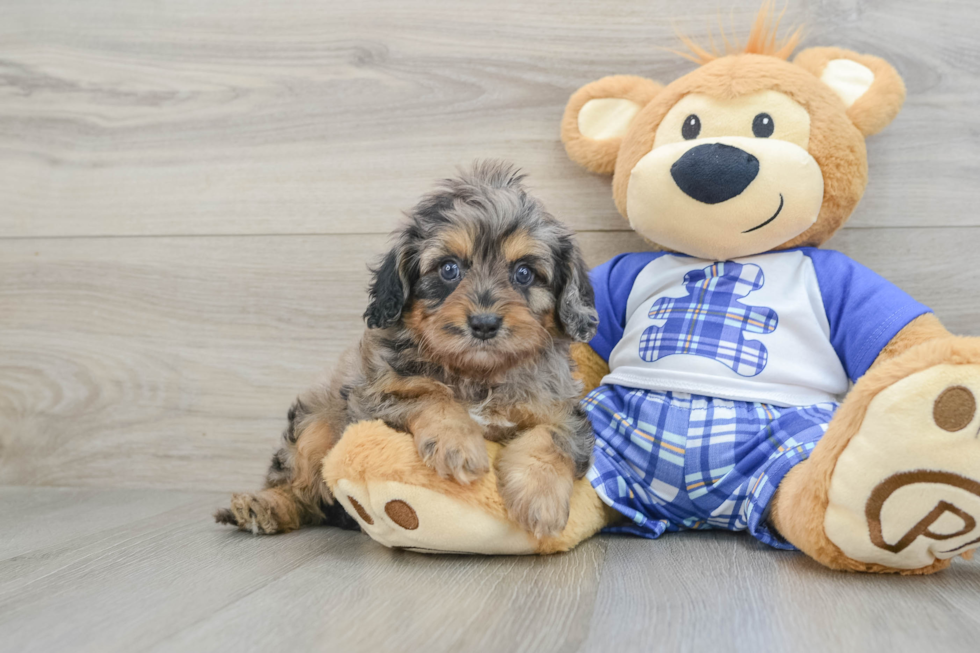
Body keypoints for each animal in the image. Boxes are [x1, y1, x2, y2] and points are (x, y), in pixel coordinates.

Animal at [214, 160, 596, 536]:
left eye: (524, 273)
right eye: (448, 269)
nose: (485, 324)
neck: (476, 373)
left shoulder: (563, 409)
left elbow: (551, 438)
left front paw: (540, 499)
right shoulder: (373, 399)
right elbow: (430, 396)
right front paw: (458, 444)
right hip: (317, 423)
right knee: (300, 488)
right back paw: (263, 507)